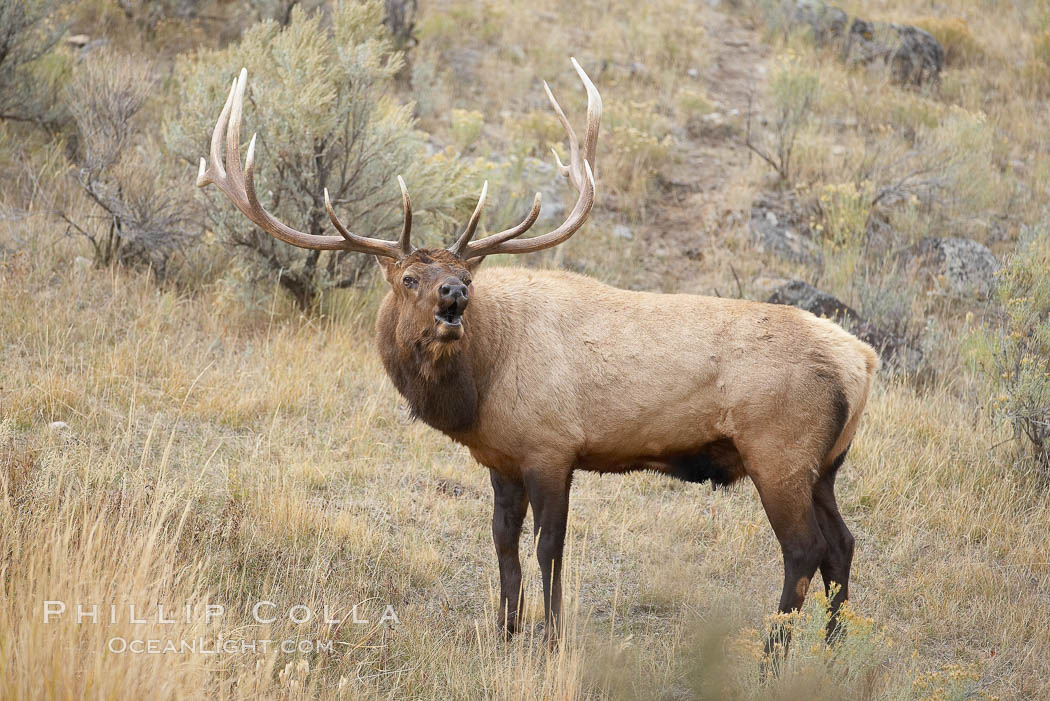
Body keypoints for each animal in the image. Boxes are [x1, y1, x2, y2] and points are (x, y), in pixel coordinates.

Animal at [195, 60, 877, 646]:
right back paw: (833, 645)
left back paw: (775, 651)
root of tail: (864, 363)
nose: (454, 294)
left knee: (804, 550)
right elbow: (503, 542)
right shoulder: (501, 455)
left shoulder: (553, 446)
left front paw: (549, 636)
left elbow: (551, 548)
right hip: (825, 464)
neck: (479, 391)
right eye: (409, 278)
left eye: (463, 274)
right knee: (843, 544)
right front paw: (504, 628)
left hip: (778, 451)